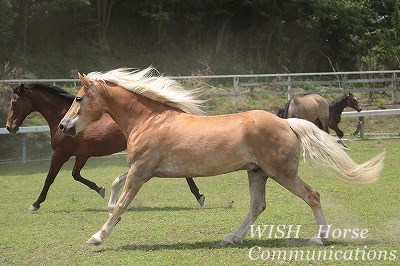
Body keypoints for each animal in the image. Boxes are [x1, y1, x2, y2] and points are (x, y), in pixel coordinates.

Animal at [5, 83, 206, 212]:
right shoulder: (82, 155)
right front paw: (100, 189)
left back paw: (199, 196)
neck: (62, 117)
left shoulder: (61, 153)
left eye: (14, 102)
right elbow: (76, 175)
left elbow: (49, 179)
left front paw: (35, 204)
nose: (9, 127)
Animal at [58, 67, 384, 246]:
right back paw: (232, 237)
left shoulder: (141, 171)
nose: (63, 126)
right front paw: (107, 205)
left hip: (282, 173)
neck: (150, 119)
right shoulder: (144, 168)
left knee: (312, 195)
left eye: (78, 98)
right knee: (257, 206)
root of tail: (288, 122)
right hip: (257, 172)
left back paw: (320, 237)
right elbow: (116, 184)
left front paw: (97, 237)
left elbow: (122, 204)